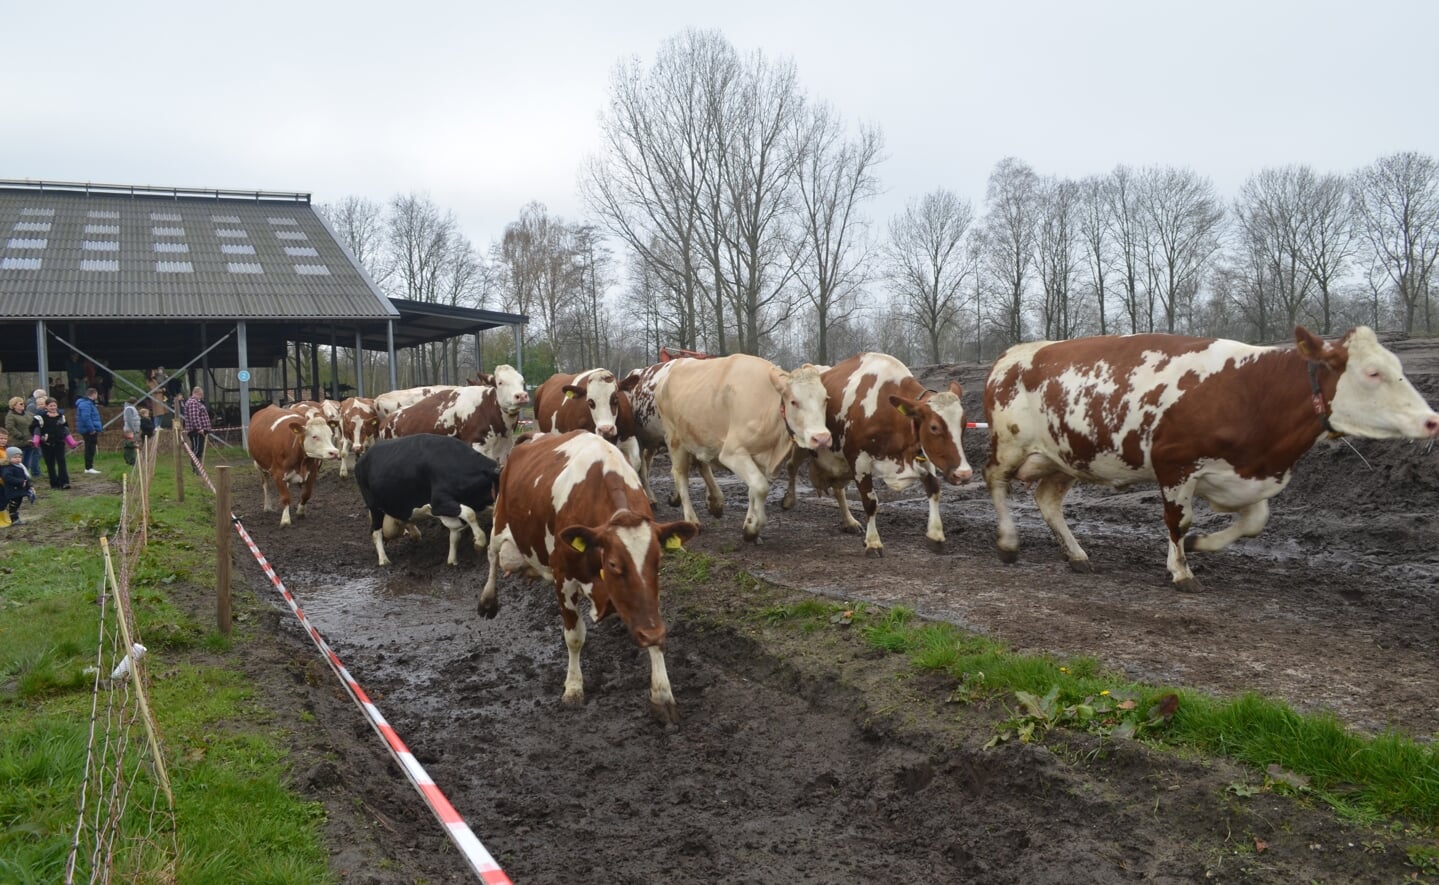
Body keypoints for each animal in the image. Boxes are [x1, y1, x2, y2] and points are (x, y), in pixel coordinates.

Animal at [352, 434, 500, 566]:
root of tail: (362, 458)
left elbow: (456, 532)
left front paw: (452, 560)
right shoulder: (438, 504)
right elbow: (470, 513)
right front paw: (479, 541)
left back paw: (414, 534)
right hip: (374, 507)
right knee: (375, 531)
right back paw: (383, 559)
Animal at [656, 356, 834, 543]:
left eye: (825, 399)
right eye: (794, 402)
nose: (822, 438)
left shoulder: (759, 458)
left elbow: (753, 490)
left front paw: (749, 524)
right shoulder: (732, 453)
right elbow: (761, 487)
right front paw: (754, 527)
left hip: (699, 436)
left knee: (702, 465)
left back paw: (715, 503)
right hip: (675, 439)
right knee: (680, 475)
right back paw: (692, 519)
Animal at [805, 351, 972, 552]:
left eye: (964, 424)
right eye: (934, 427)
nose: (964, 474)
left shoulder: (921, 453)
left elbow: (934, 488)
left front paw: (935, 534)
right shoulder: (858, 459)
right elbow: (870, 502)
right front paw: (873, 542)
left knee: (838, 489)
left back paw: (849, 522)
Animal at [984, 323, 1439, 590]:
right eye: (1372, 373)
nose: (1431, 420)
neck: (1253, 393)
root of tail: (1014, 354)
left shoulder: (1247, 473)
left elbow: (1255, 523)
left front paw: (1201, 545)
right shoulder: (1174, 463)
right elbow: (1178, 520)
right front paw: (1182, 570)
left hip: (1067, 455)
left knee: (1047, 500)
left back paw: (1076, 555)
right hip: (1010, 444)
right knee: (995, 480)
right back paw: (1007, 543)